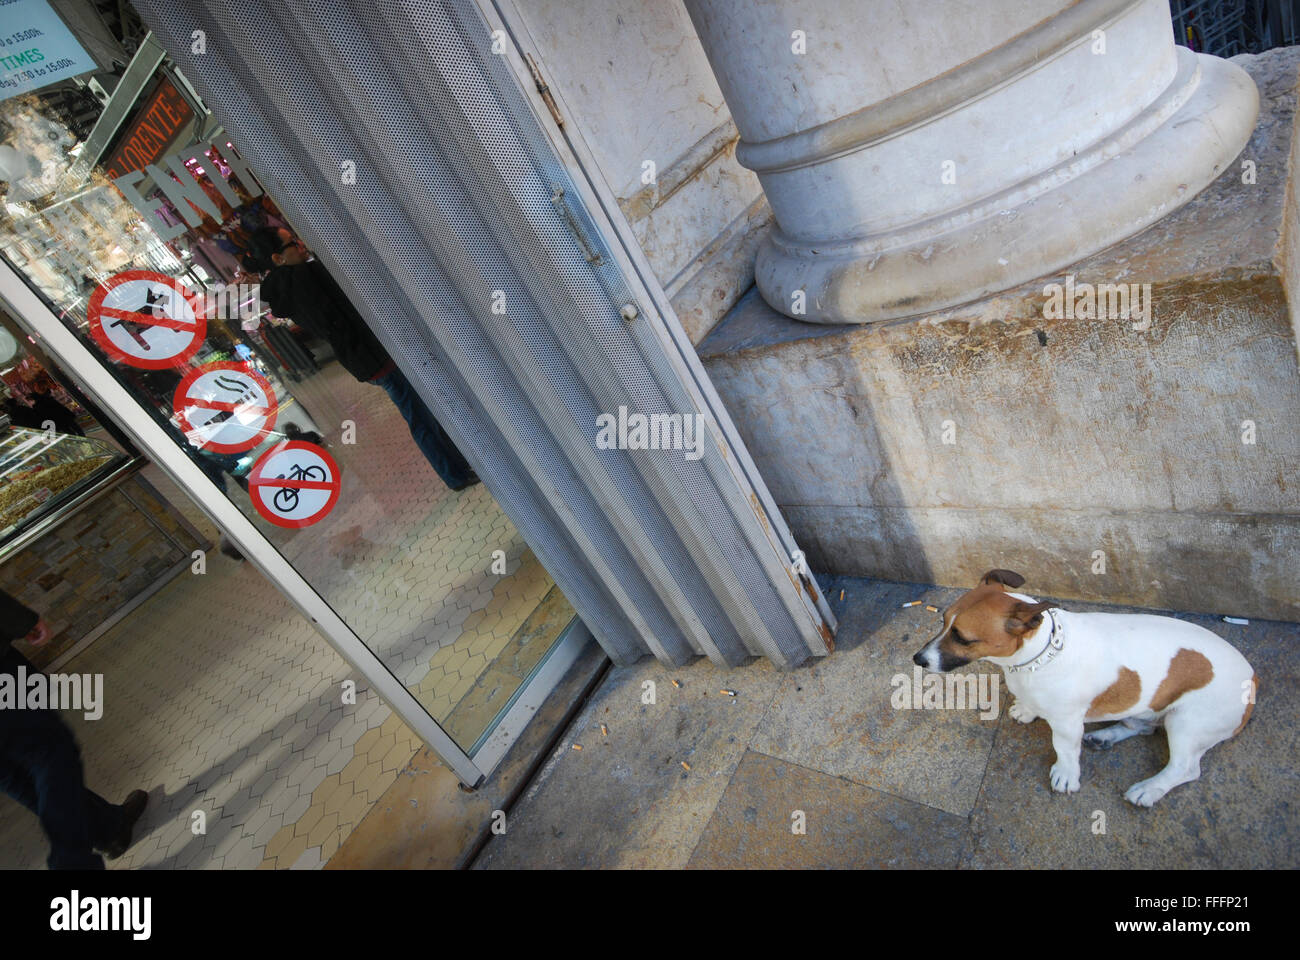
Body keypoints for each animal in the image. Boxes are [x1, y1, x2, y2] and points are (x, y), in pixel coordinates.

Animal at [909, 572, 1253, 806]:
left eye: (963, 638)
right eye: (942, 621)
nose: (918, 659)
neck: (1037, 657)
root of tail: (1253, 679)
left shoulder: (1066, 723)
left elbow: (1064, 749)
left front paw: (1066, 774)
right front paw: (1027, 709)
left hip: (1187, 723)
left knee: (1185, 768)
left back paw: (1149, 788)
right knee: (1141, 726)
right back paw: (1105, 736)